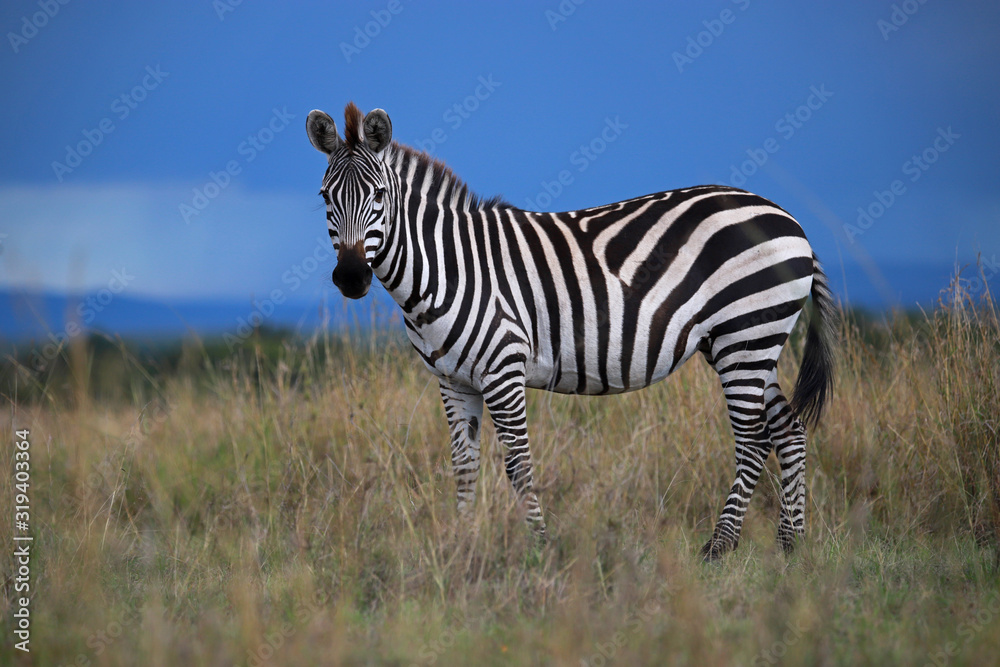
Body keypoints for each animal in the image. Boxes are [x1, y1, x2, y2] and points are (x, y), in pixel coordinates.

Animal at [306, 102, 835, 560]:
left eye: (379, 196)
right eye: (325, 197)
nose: (351, 278)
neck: (446, 268)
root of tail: (790, 218)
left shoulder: (503, 369)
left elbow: (518, 464)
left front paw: (540, 548)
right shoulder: (452, 380)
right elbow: (463, 464)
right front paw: (461, 545)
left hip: (744, 335)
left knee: (753, 440)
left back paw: (719, 547)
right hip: (749, 342)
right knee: (788, 430)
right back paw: (791, 546)